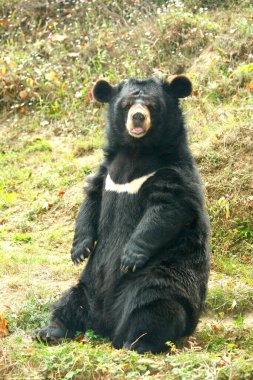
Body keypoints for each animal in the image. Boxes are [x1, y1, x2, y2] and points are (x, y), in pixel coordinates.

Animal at [37, 75, 210, 354]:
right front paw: (79, 250)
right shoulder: (105, 172)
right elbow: (91, 201)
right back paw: (50, 331)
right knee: (69, 302)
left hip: (164, 278)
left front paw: (129, 257)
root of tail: (107, 326)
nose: (138, 118)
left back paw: (138, 342)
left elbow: (165, 209)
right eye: (127, 105)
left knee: (153, 306)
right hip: (87, 285)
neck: (135, 151)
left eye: (151, 105)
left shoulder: (173, 172)